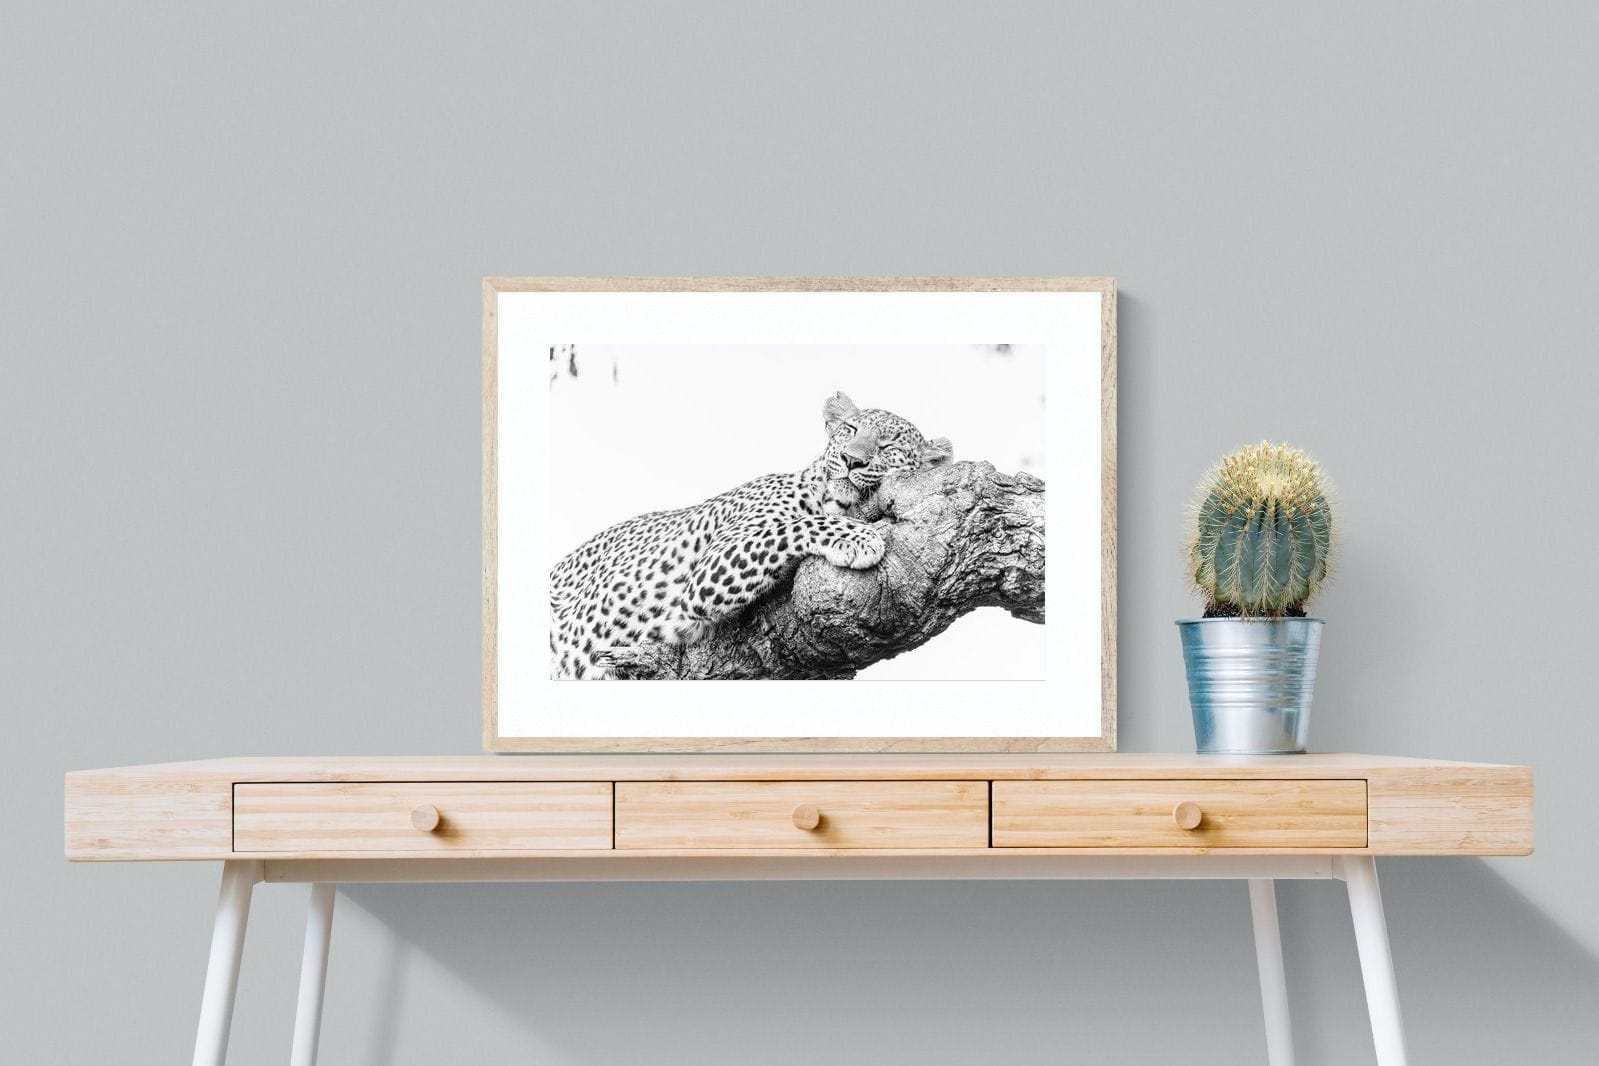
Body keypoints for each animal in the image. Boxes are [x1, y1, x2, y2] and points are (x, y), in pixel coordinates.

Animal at [549, 391, 953, 679]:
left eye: (889, 447)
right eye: (851, 431)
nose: (852, 460)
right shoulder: (708, 571)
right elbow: (792, 526)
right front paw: (859, 537)